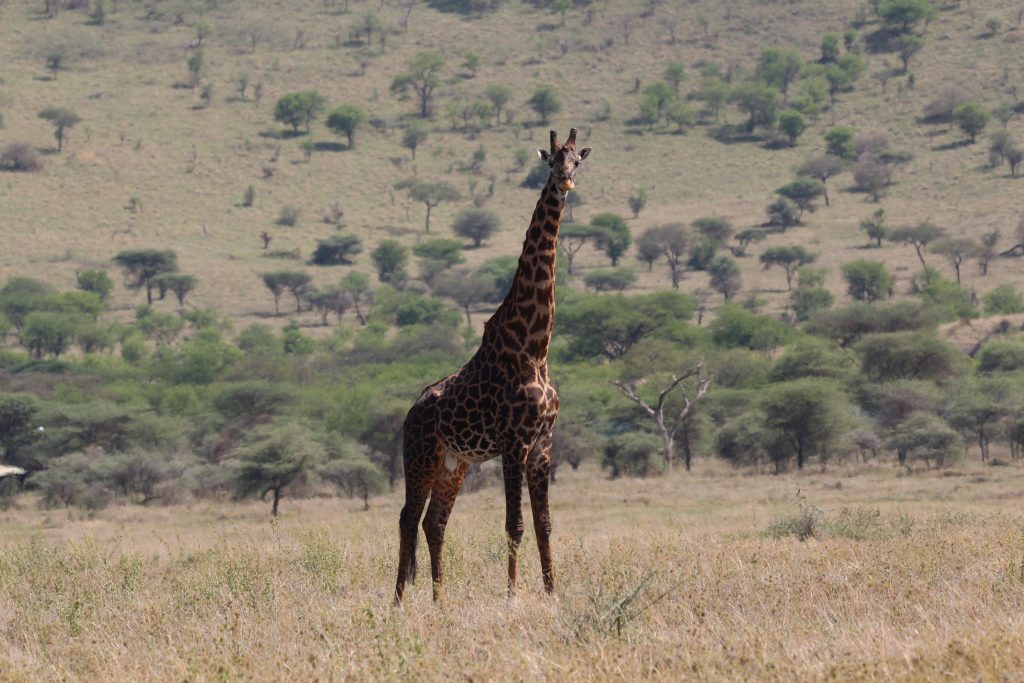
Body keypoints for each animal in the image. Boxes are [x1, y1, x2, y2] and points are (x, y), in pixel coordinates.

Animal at [397, 126, 598, 602]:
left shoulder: (543, 445)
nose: (565, 183)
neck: (535, 347)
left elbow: (544, 524)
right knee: (407, 518)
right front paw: (512, 596)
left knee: (434, 522)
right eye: (552, 161)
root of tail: (409, 414)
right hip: (420, 456)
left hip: (454, 464)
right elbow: (514, 525)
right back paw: (397, 602)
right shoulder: (515, 443)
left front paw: (552, 593)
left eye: (577, 161)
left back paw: (439, 601)